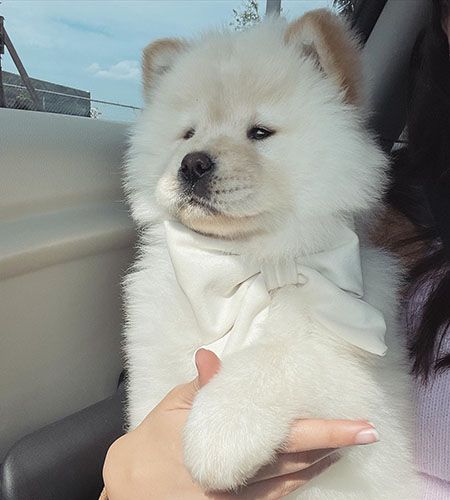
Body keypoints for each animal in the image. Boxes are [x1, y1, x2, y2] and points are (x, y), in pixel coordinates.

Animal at [123, 10, 418, 499]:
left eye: (260, 133)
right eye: (187, 134)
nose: (193, 162)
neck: (249, 262)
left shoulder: (368, 378)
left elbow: (278, 357)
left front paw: (219, 433)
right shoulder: (150, 357)